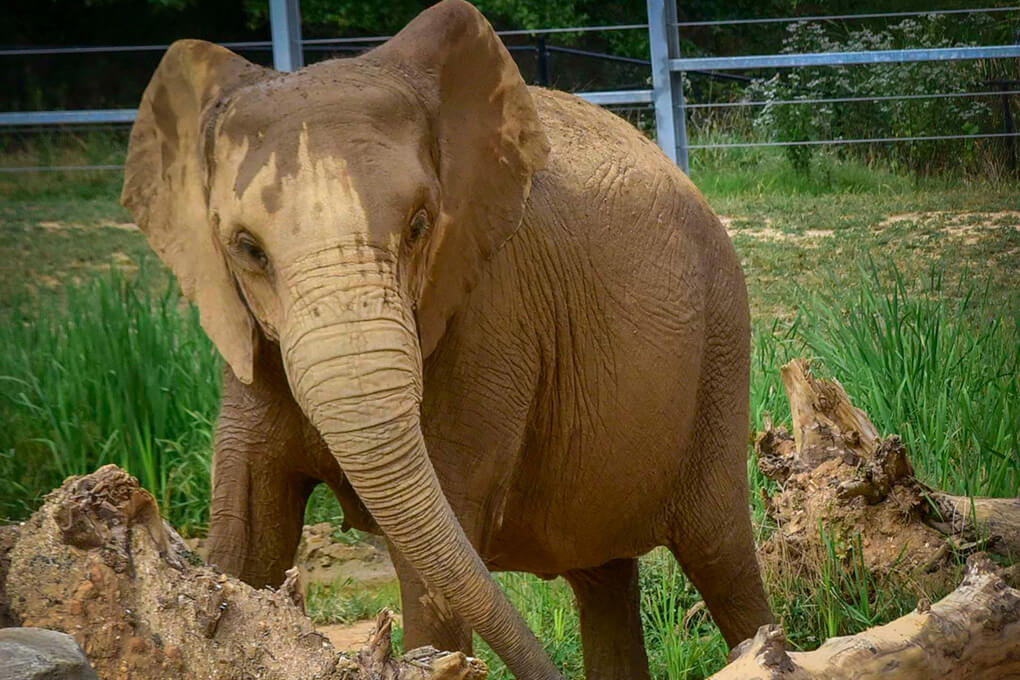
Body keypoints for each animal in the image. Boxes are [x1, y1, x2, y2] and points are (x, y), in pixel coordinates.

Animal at [121, 1, 774, 678]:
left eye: (419, 226)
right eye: (247, 249)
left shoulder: (492, 311)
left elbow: (434, 570)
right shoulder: (246, 342)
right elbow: (245, 542)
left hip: (721, 342)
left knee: (719, 556)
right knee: (603, 575)